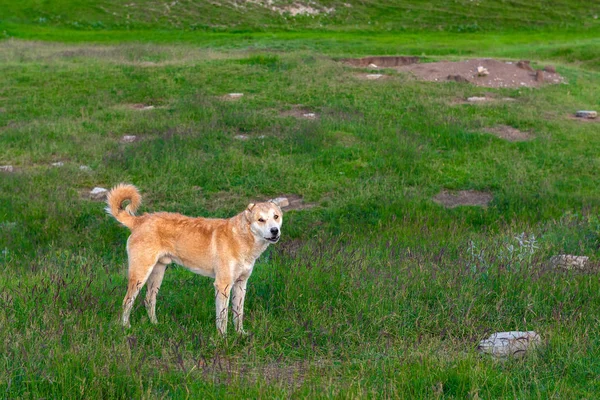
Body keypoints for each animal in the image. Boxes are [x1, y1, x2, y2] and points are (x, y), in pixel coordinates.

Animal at [105, 184, 284, 334]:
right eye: (261, 220)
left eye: (276, 216)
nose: (275, 231)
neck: (241, 237)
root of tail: (139, 220)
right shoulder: (223, 285)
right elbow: (223, 318)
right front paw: (223, 338)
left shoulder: (241, 284)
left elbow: (238, 314)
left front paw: (240, 334)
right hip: (140, 274)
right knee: (127, 301)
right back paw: (126, 327)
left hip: (157, 272)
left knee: (149, 300)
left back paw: (155, 324)